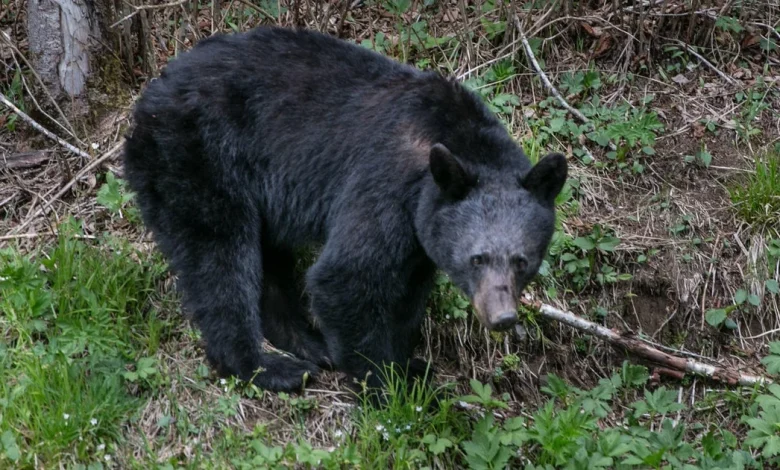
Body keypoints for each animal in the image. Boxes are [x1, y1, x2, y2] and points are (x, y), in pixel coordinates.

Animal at [122, 26, 567, 393]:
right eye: (477, 258)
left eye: (523, 260)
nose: (502, 318)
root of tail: (148, 96)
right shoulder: (385, 185)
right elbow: (346, 277)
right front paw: (386, 384)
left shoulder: (421, 233)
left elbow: (407, 294)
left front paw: (408, 364)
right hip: (197, 158)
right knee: (219, 257)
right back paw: (267, 367)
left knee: (268, 261)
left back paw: (308, 343)